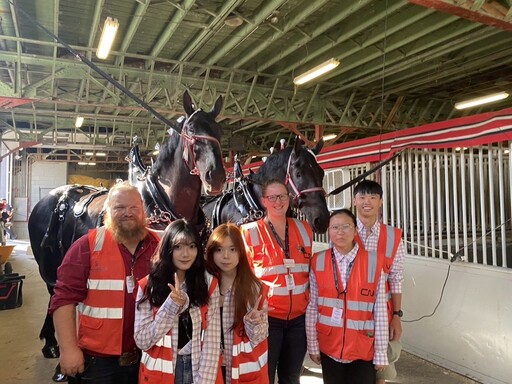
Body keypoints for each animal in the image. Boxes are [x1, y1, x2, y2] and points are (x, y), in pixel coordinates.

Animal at [27, 90, 225, 366]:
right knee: (53, 294)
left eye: (219, 131)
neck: (162, 201)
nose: (216, 176)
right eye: (191, 130)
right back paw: (52, 342)